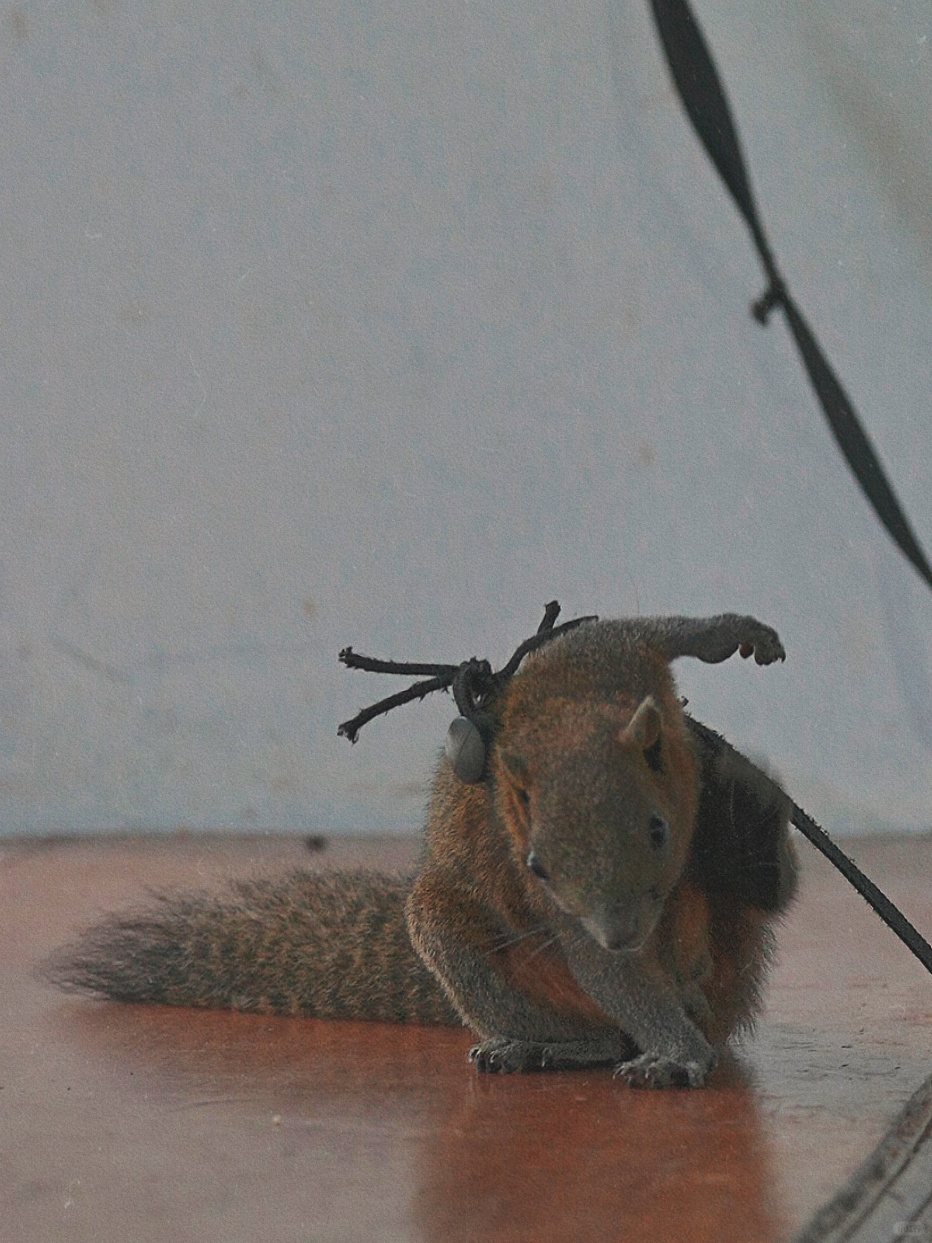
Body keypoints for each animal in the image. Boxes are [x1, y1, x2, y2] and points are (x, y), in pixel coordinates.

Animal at [47, 611, 800, 1088]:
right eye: (536, 866)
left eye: (656, 829)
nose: (620, 933)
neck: (567, 714)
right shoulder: (560, 908)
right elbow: (601, 965)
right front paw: (676, 1054)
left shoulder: (607, 650)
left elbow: (661, 628)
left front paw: (735, 634)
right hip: (463, 944)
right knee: (600, 1033)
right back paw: (548, 1044)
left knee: (757, 903)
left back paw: (747, 825)